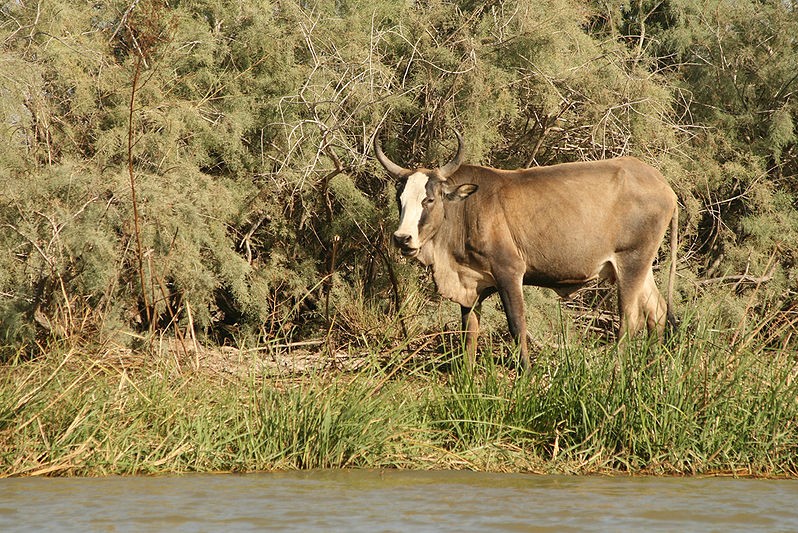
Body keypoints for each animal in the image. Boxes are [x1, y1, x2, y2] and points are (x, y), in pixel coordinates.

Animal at [378, 131, 680, 368]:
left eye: (429, 199)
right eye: (400, 198)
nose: (402, 238)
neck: (465, 209)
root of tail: (663, 185)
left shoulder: (509, 273)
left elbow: (517, 325)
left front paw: (524, 376)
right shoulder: (471, 283)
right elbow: (469, 333)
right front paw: (466, 379)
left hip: (631, 263)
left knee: (629, 319)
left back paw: (617, 371)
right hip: (642, 268)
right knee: (657, 313)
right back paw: (652, 370)